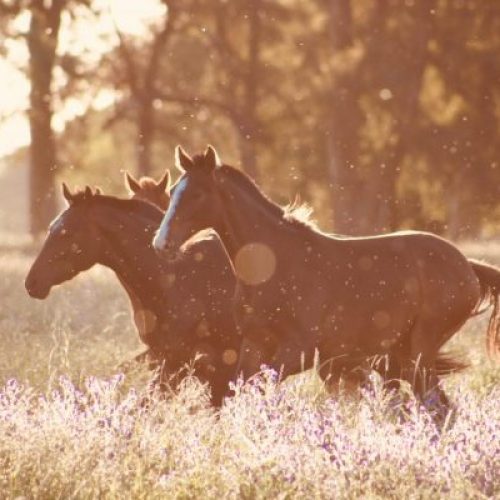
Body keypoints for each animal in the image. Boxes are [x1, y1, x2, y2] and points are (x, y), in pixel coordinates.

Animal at [152, 145, 500, 410]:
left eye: (198, 194)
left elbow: (257, 387)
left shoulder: (301, 352)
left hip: (420, 350)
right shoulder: (254, 344)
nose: (161, 243)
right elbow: (238, 389)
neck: (274, 266)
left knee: (437, 406)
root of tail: (467, 265)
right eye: (173, 191)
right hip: (401, 354)